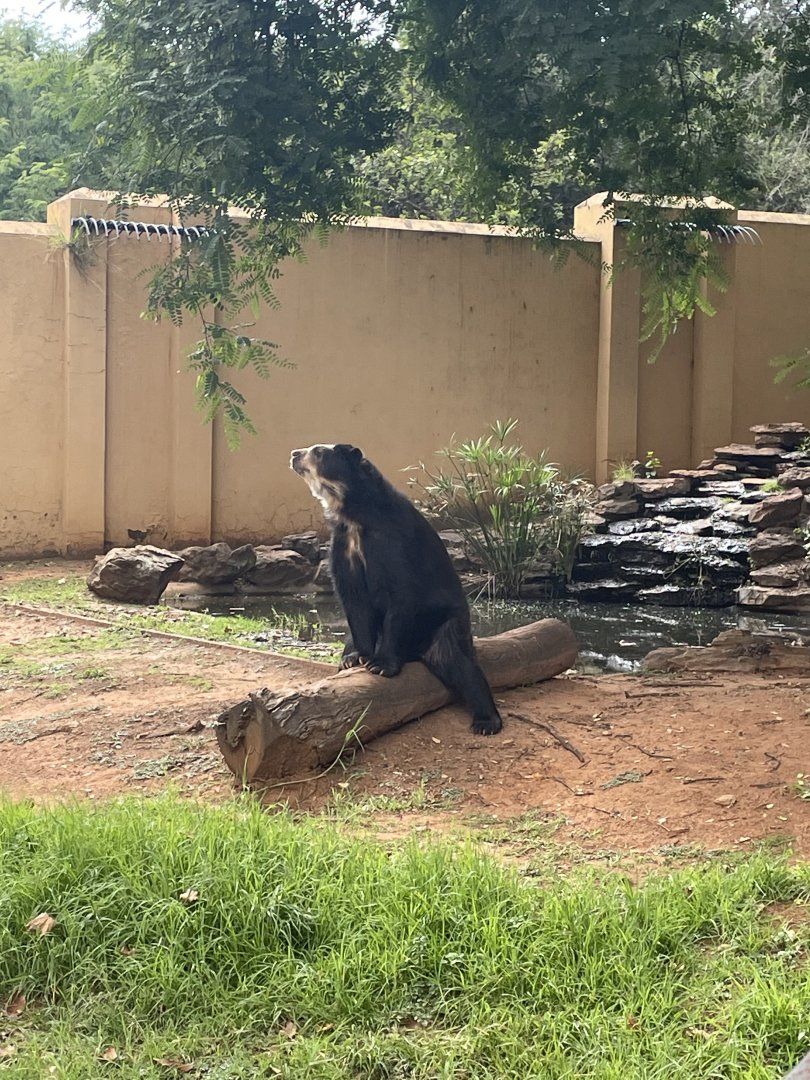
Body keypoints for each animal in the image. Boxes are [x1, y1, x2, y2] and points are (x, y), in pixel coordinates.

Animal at [290, 443, 502, 736]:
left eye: (319, 452)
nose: (293, 454)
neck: (355, 516)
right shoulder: (343, 545)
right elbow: (353, 600)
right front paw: (357, 658)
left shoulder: (396, 543)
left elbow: (400, 595)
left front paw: (381, 665)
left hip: (446, 623)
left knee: (460, 664)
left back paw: (486, 721)